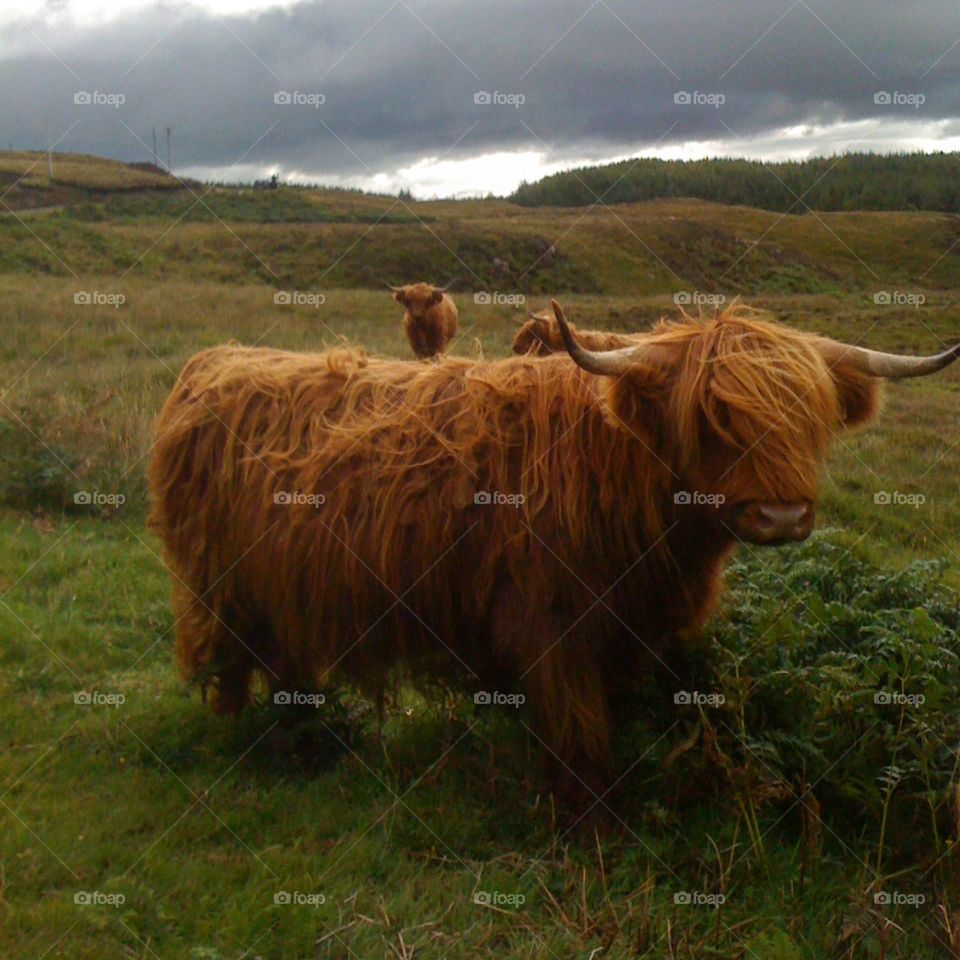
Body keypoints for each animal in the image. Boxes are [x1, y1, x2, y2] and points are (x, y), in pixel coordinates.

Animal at [148, 300, 959, 816]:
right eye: (712, 417)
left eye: (809, 418)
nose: (783, 515)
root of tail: (212, 362)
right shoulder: (552, 624)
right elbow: (578, 731)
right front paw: (587, 818)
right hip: (219, 583)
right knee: (229, 663)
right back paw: (252, 738)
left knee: (282, 656)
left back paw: (304, 733)